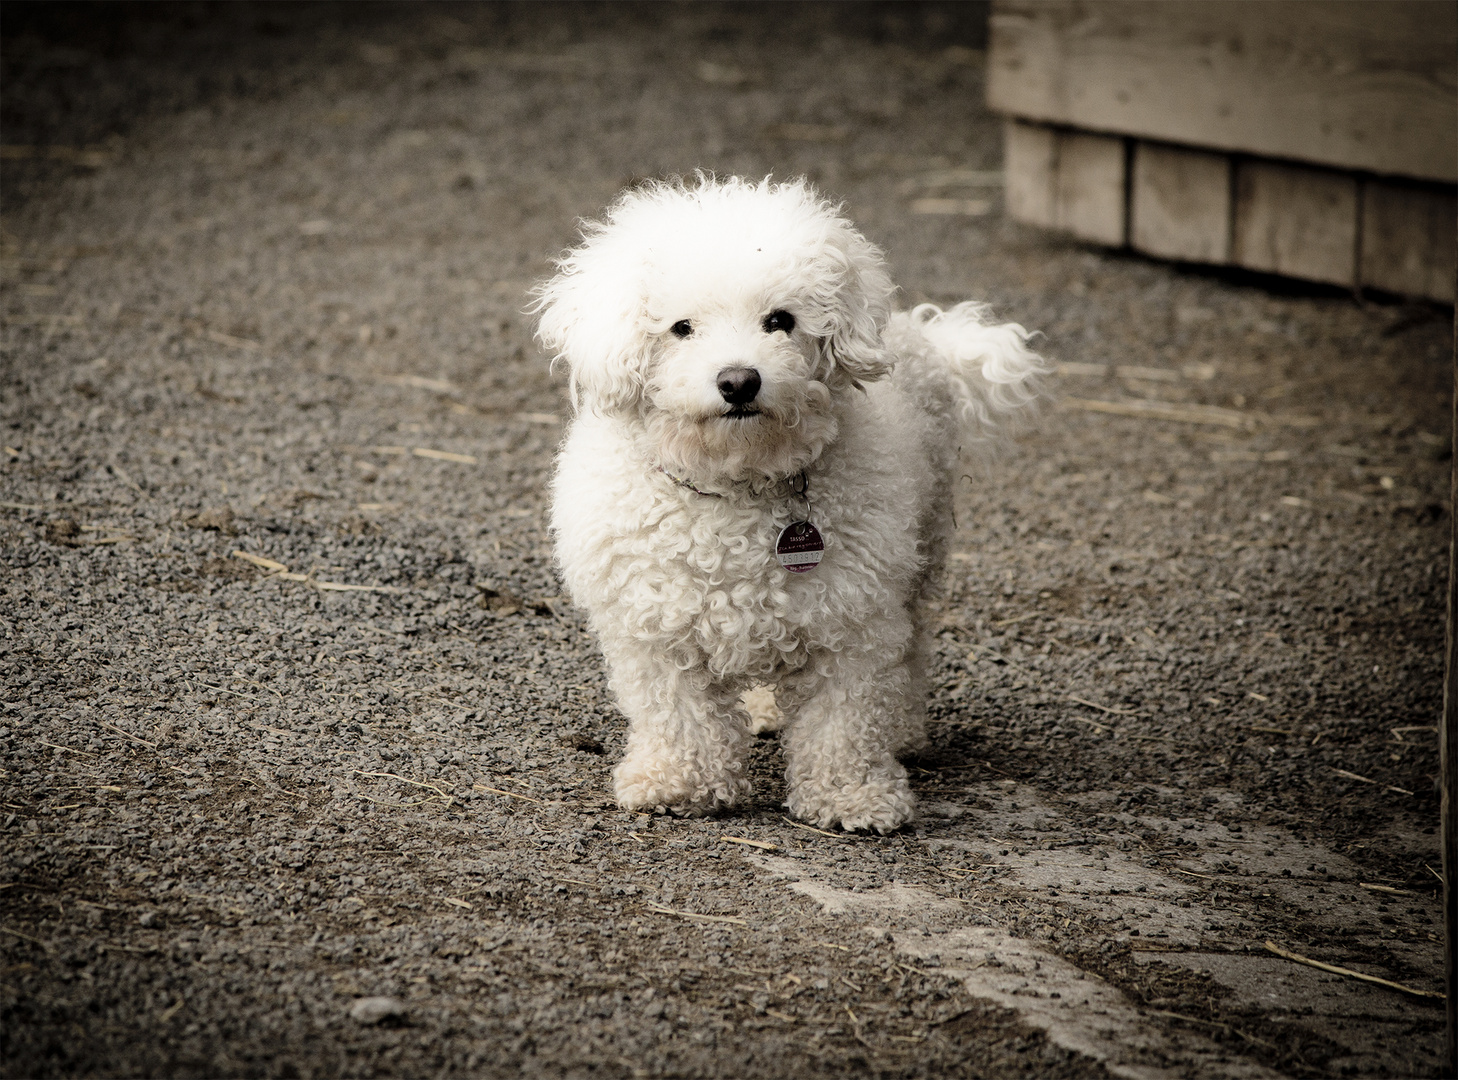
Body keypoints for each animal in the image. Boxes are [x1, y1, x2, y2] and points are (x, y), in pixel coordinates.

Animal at [536, 177, 1049, 833]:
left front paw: (850, 796)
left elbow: (844, 722)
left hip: (919, 558)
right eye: (681, 328)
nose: (738, 381)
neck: (737, 488)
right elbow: (677, 713)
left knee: (909, 653)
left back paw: (903, 730)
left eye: (780, 321)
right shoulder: (654, 631)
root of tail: (922, 331)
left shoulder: (853, 623)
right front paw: (679, 783)